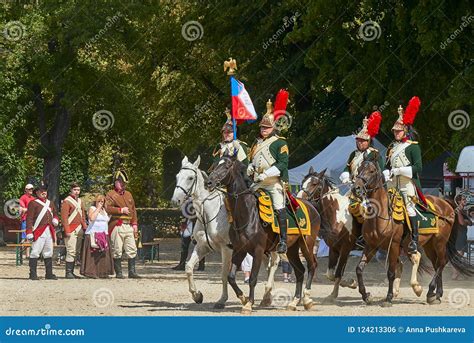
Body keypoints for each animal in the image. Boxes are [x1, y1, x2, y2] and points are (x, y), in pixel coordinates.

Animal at [172, 156, 280, 310]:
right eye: (177, 176)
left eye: (190, 177)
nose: (176, 200)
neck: (209, 212)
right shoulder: (202, 247)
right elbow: (188, 267)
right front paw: (197, 295)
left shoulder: (227, 249)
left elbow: (224, 275)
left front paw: (223, 300)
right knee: (268, 265)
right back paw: (267, 297)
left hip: (273, 247)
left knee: (275, 262)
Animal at [206, 155, 320, 314]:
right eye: (215, 164)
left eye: (227, 166)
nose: (208, 182)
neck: (247, 214)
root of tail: (311, 206)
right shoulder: (239, 250)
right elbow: (231, 277)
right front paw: (243, 298)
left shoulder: (258, 251)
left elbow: (253, 278)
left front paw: (249, 304)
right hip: (291, 249)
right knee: (300, 271)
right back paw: (294, 302)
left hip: (306, 244)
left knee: (312, 265)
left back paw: (307, 300)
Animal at [300, 168, 360, 302]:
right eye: (303, 182)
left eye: (314, 183)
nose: (299, 197)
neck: (337, 215)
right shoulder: (334, 248)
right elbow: (331, 274)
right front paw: (350, 283)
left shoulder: (345, 249)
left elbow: (337, 273)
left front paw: (335, 293)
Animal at [350, 158, 472, 306]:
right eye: (359, 169)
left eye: (372, 171)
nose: (356, 188)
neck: (381, 214)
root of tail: (445, 203)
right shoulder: (371, 246)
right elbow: (359, 269)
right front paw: (366, 295)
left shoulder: (394, 246)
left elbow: (391, 272)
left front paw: (389, 297)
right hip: (429, 245)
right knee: (436, 263)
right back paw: (436, 294)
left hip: (440, 242)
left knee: (442, 262)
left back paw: (430, 291)